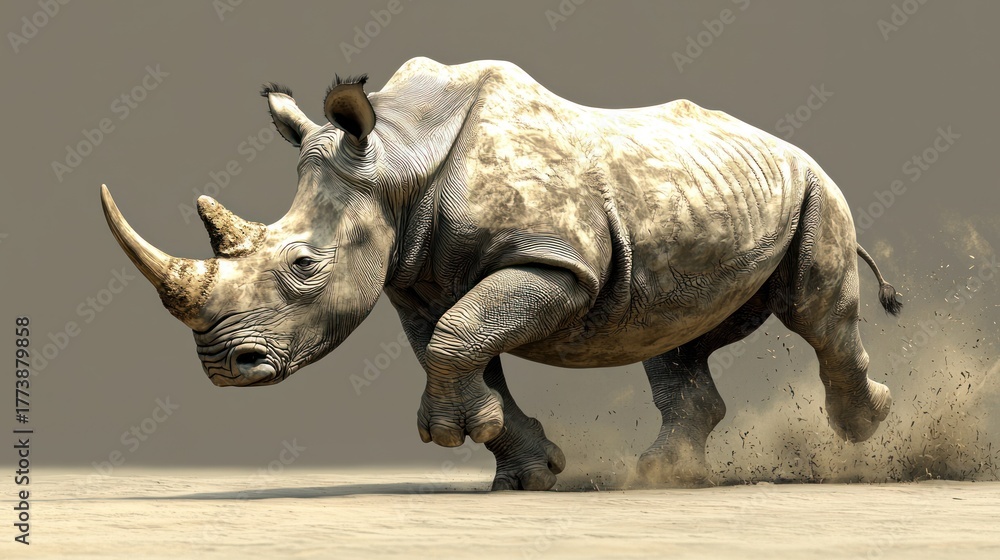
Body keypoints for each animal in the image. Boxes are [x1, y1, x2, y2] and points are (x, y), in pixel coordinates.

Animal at [101, 57, 901, 490]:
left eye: (303, 265)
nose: (224, 368)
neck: (397, 160)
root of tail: (790, 147)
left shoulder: (557, 262)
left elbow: (462, 334)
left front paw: (455, 436)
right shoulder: (415, 280)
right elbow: (454, 342)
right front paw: (525, 470)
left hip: (816, 190)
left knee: (817, 315)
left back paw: (867, 426)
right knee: (676, 338)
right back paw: (659, 475)